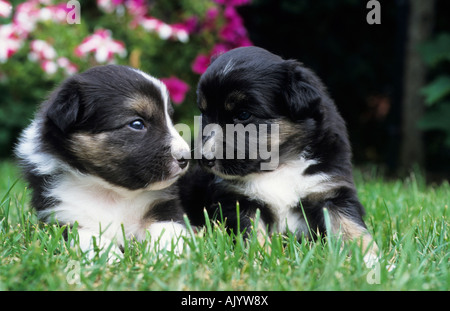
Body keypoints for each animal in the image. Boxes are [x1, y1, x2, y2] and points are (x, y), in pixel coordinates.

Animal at [15, 64, 190, 258]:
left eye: (169, 119)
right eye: (137, 124)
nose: (186, 157)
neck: (112, 193)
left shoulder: (164, 208)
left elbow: (168, 232)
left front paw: (170, 257)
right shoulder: (63, 218)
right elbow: (94, 240)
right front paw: (113, 260)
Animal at [181, 45, 378, 262]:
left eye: (243, 115)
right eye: (204, 113)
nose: (204, 159)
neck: (280, 165)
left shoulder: (331, 190)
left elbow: (351, 225)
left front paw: (372, 260)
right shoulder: (237, 200)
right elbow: (253, 233)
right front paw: (260, 260)